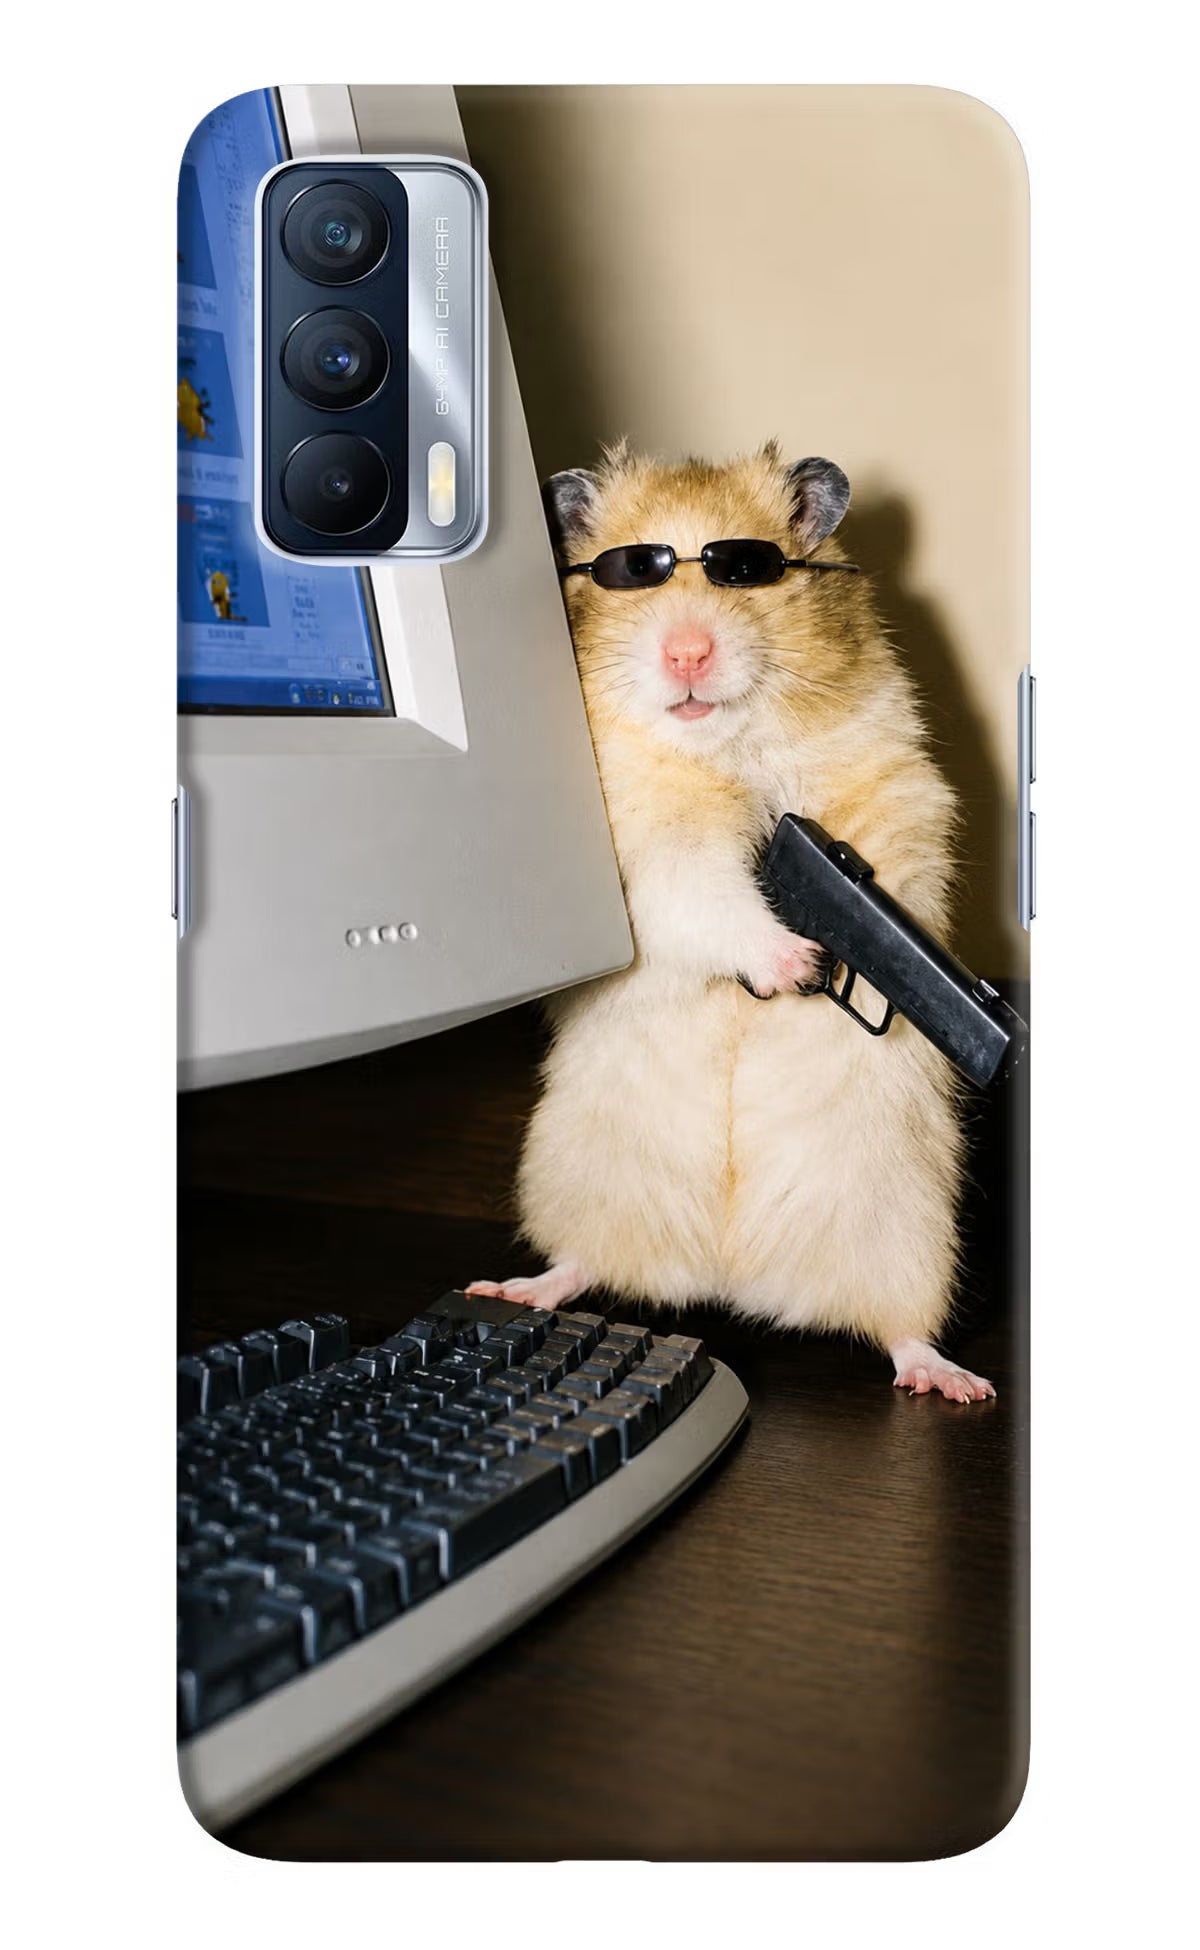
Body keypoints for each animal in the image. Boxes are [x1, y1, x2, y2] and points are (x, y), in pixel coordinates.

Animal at [468, 442, 993, 1402]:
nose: (686, 653)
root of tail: (730, 1276)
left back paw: (954, 1382)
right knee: (582, 1263)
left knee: (900, 1329)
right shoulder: (648, 852)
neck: (725, 746)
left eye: (746, 570)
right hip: (578, 1176)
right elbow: (708, 896)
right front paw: (797, 964)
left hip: (907, 1229)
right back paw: (515, 1288)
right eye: (633, 572)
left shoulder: (895, 790)